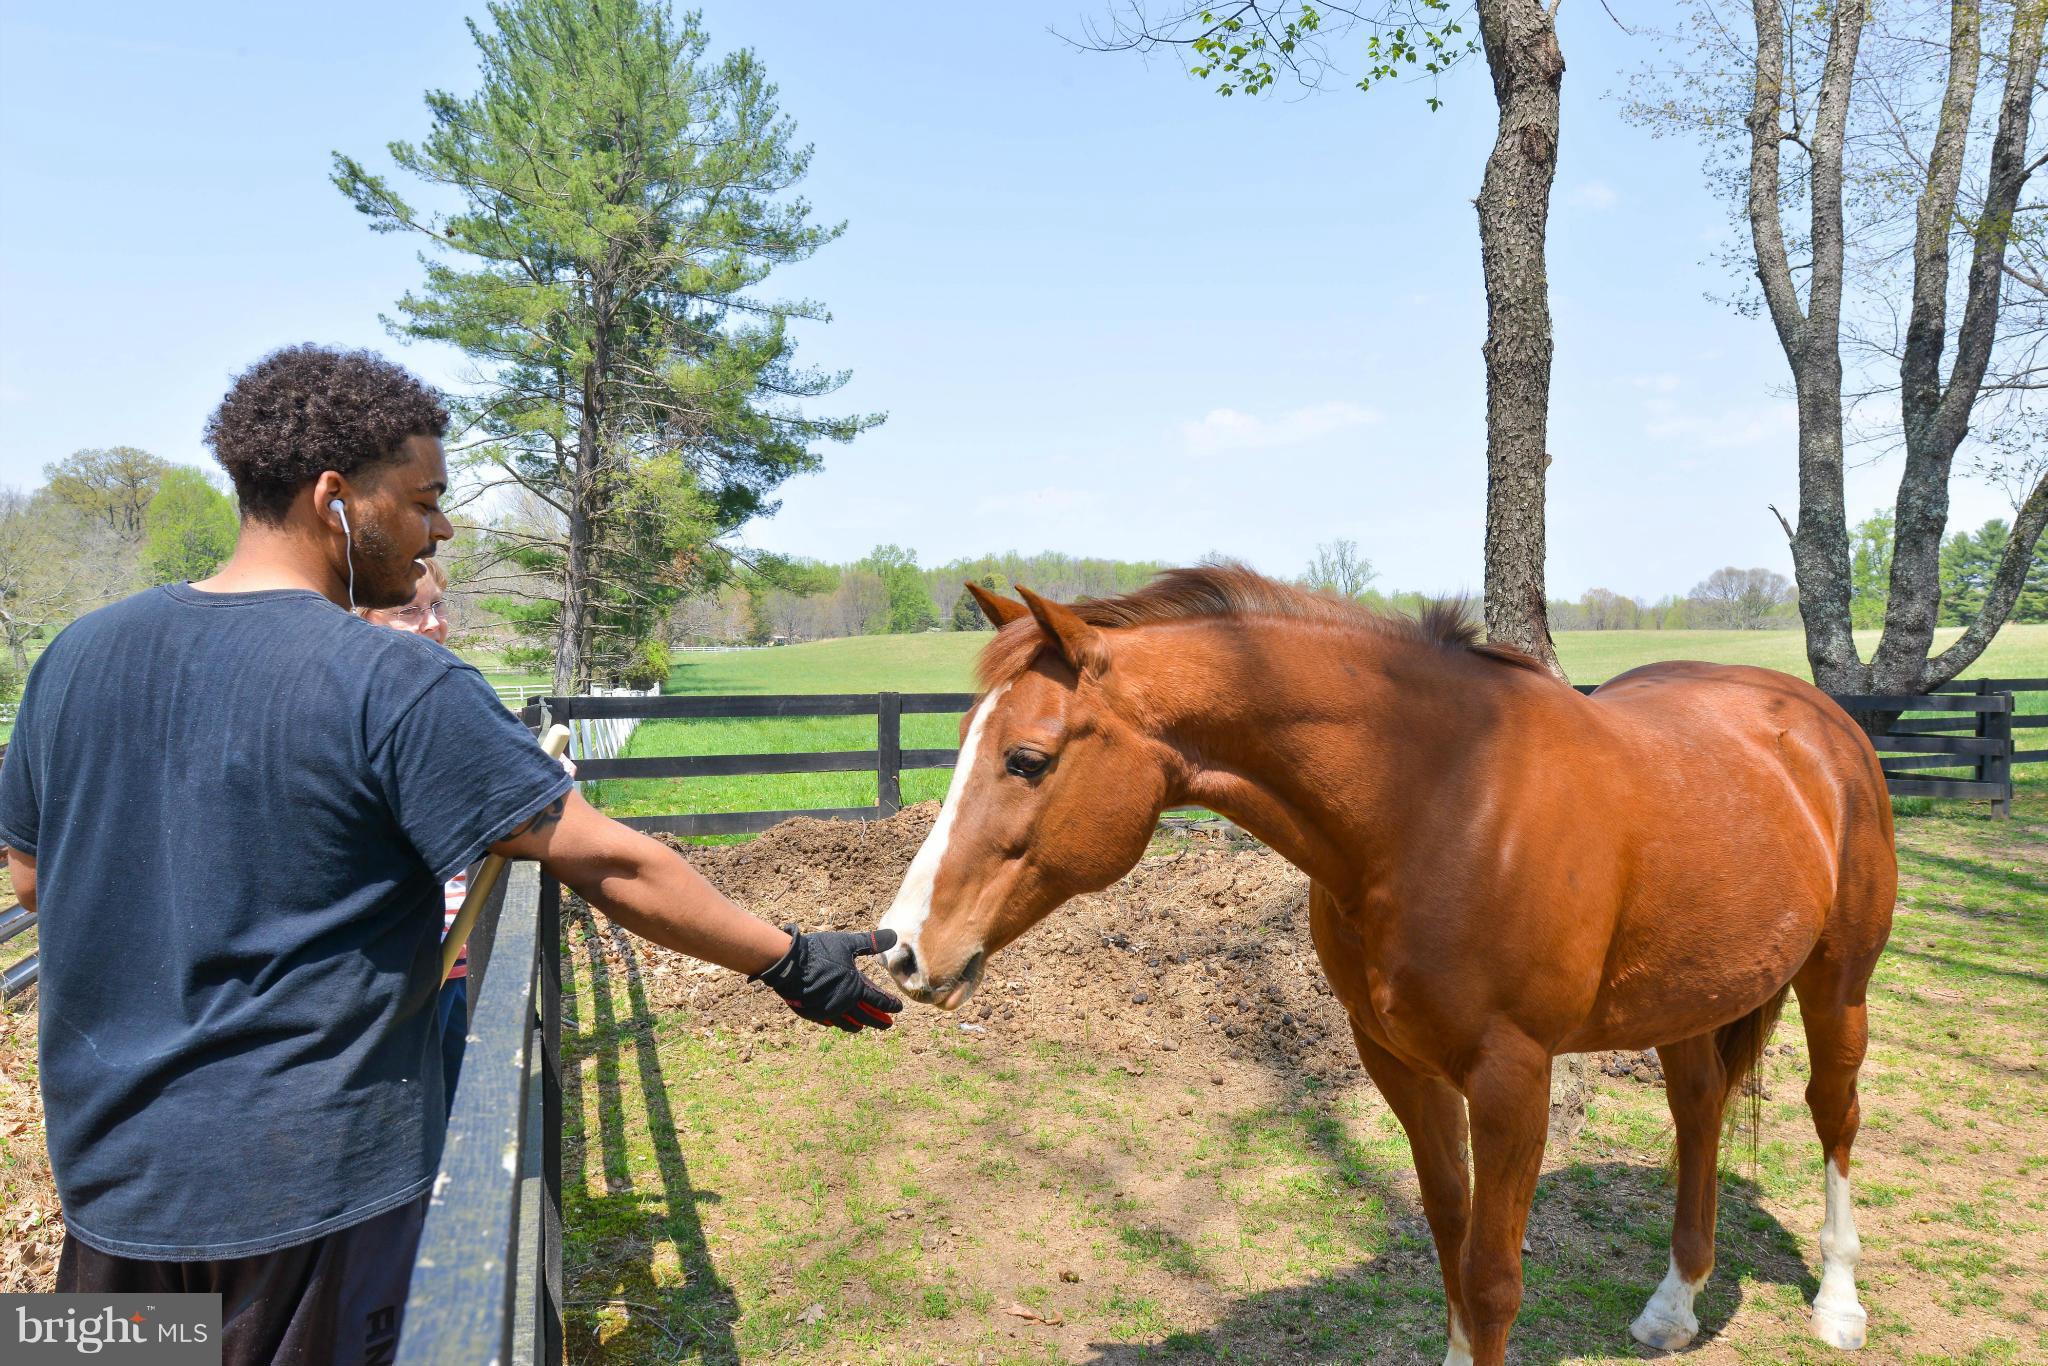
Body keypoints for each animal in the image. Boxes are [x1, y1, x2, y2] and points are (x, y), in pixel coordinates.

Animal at [876, 566, 1895, 1366]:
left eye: (1026, 758)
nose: (900, 947)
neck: (1440, 801)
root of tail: (1819, 722)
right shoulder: (1400, 1063)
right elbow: (1449, 1232)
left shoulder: (1512, 1078)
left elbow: (1492, 1276)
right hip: (1687, 1000)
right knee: (1698, 1112)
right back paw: (1674, 1305)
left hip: (1837, 984)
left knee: (1833, 1114)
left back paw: (1839, 1305)